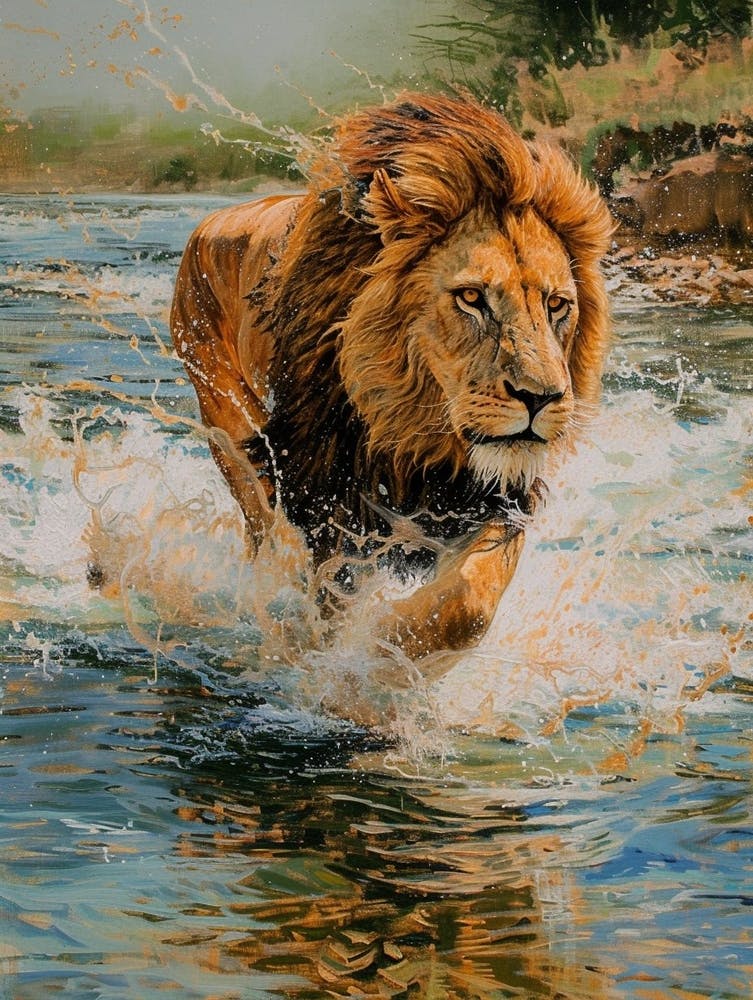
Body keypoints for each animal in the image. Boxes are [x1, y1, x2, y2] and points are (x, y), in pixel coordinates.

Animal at [170, 92, 613, 661]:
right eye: (472, 297)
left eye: (557, 305)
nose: (541, 398)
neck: (412, 431)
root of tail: (211, 220)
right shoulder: (328, 502)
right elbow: (332, 608)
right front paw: (352, 660)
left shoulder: (488, 499)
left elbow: (470, 602)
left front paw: (392, 642)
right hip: (236, 439)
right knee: (263, 533)